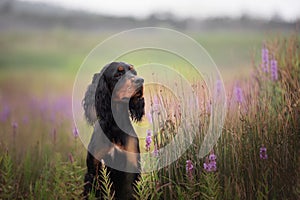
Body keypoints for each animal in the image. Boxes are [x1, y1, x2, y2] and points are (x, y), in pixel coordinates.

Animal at [81, 61, 144, 199]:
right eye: (118, 74)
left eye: (133, 72)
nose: (140, 80)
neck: (114, 125)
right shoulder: (94, 171)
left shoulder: (131, 170)